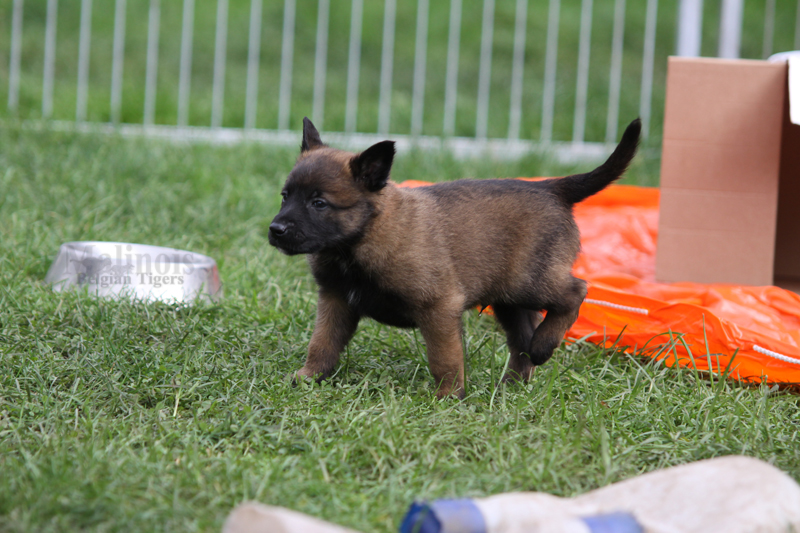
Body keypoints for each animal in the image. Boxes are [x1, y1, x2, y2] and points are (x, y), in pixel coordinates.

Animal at [269, 117, 641, 398]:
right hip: (509, 300)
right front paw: (308, 377)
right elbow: (322, 343)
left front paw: (449, 397)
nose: (275, 229)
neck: (359, 241)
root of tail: (551, 187)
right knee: (522, 342)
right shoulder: (335, 300)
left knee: (576, 291)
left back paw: (545, 345)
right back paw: (512, 384)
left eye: (319, 203)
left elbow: (444, 358)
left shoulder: (438, 307)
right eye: (285, 196)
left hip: (527, 281)